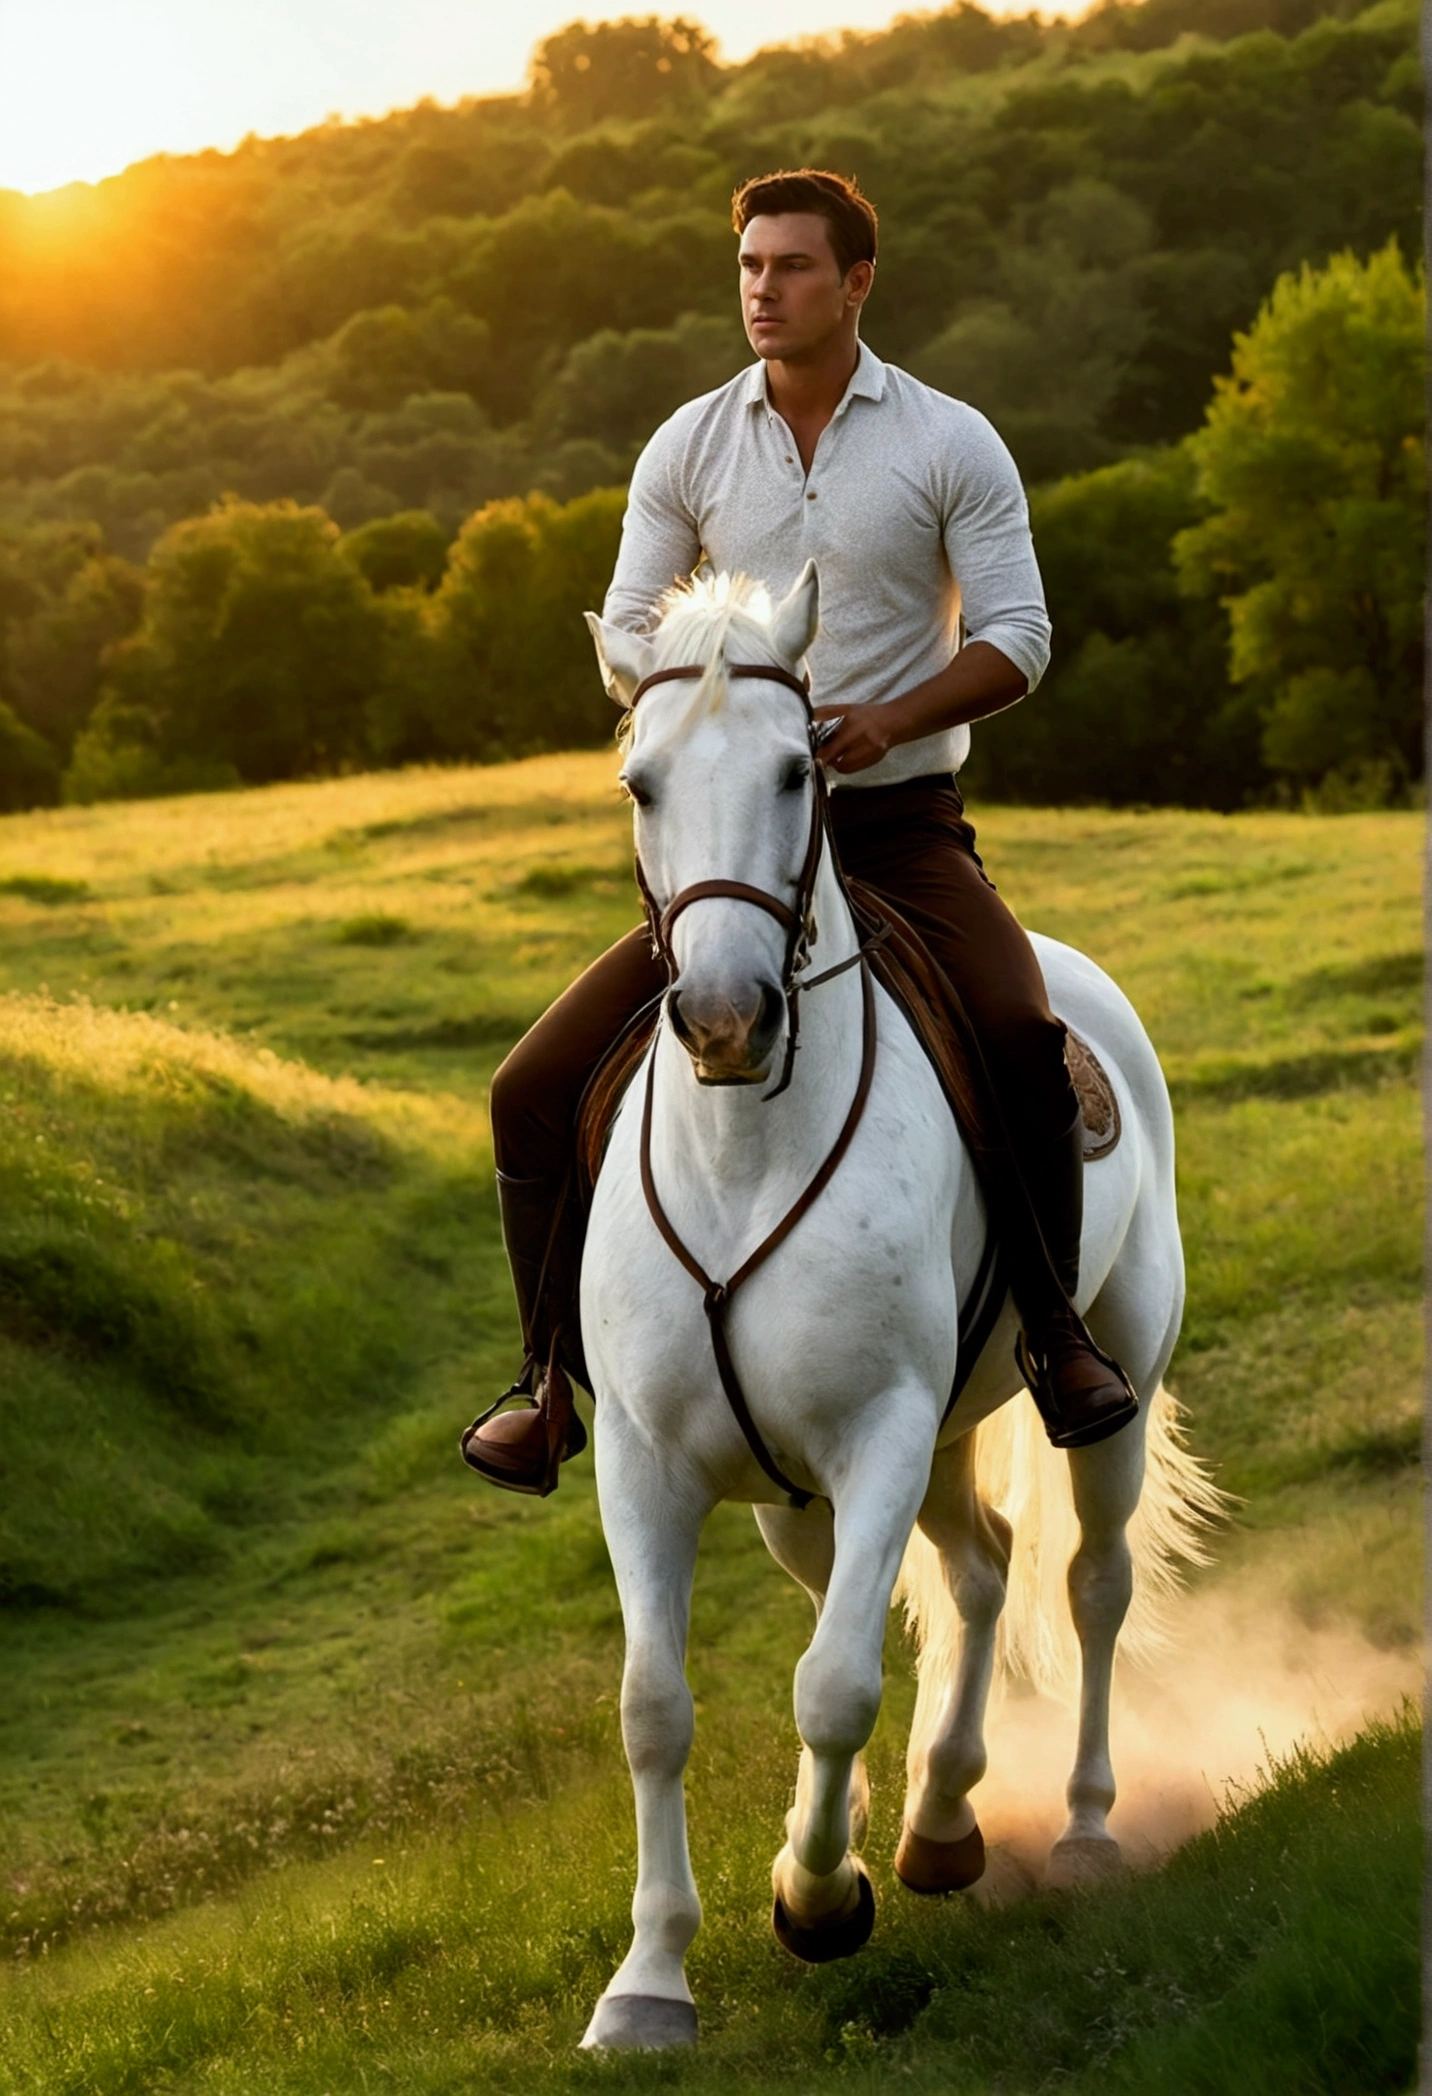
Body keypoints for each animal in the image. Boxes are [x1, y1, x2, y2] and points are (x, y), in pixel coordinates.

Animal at [578, 561, 1216, 2045]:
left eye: (800, 769)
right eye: (640, 780)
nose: (723, 1018)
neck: (744, 1155)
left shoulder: (878, 1432)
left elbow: (834, 1681)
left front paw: (817, 1900)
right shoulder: (650, 1462)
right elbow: (655, 1704)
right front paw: (651, 1978)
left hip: (1103, 1392)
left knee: (1087, 1582)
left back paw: (1078, 1828)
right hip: (833, 1479)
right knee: (975, 1570)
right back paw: (933, 1819)